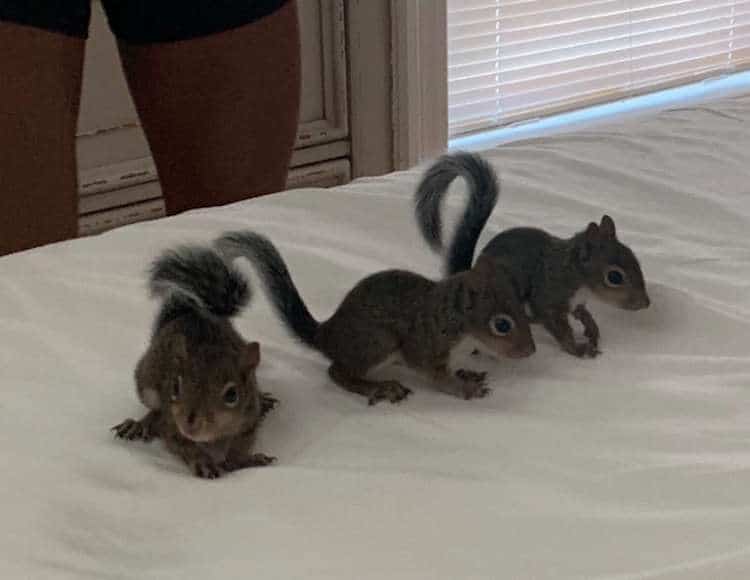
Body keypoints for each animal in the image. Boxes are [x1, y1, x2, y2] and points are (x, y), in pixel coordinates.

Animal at [113, 245, 278, 479]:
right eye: (175, 387)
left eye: (232, 395)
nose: (190, 425)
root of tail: (189, 314)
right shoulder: (171, 425)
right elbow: (181, 444)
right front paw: (204, 462)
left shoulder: (248, 418)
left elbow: (240, 446)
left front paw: (246, 459)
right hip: (147, 383)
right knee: (154, 410)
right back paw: (139, 424)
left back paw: (265, 399)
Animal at [215, 230, 535, 406]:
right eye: (502, 325)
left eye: (523, 308)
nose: (531, 351)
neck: (455, 322)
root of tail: (326, 335)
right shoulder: (426, 347)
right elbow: (437, 377)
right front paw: (463, 388)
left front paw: (466, 373)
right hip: (376, 343)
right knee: (337, 372)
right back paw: (379, 387)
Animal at [414, 151, 650, 358]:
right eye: (614, 277)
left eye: (634, 257)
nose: (646, 303)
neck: (572, 273)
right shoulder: (549, 299)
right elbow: (559, 329)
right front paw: (577, 349)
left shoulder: (576, 302)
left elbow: (581, 313)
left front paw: (592, 328)